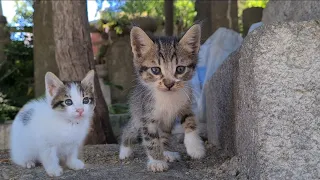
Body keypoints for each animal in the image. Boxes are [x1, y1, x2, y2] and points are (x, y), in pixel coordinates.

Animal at [119, 23, 205, 172]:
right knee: (130, 128)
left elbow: (190, 120)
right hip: (137, 114)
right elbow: (151, 139)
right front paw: (157, 161)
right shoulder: (147, 116)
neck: (167, 97)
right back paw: (125, 150)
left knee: (164, 134)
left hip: (165, 122)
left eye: (180, 69)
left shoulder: (185, 103)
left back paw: (166, 153)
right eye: (155, 70)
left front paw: (195, 147)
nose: (169, 84)